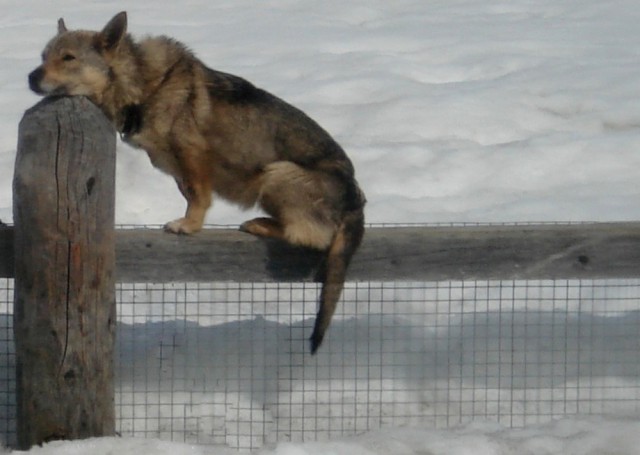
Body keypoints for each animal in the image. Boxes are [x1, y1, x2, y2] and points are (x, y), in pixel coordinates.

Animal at [28, 9, 364, 352]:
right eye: (43, 56)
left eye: (68, 58)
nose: (31, 77)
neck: (143, 87)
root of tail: (356, 200)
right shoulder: (176, 166)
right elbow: (190, 194)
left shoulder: (191, 153)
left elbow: (197, 196)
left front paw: (189, 225)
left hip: (277, 173)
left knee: (312, 235)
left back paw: (260, 224)